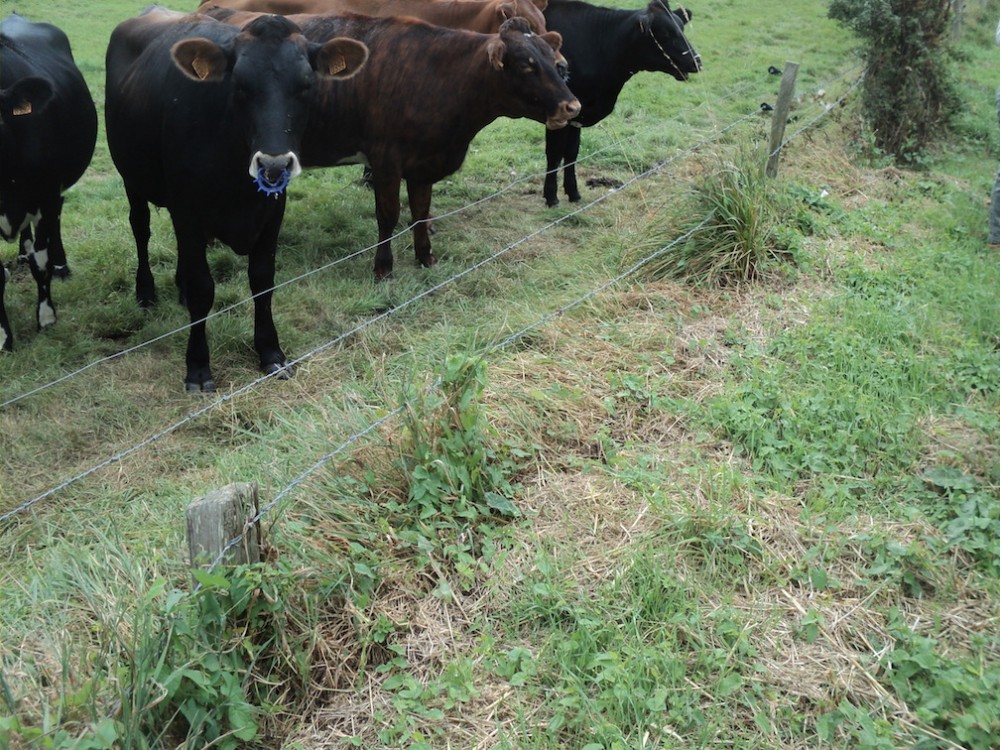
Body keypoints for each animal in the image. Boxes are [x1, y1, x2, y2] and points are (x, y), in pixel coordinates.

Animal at [104, 7, 368, 394]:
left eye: (306, 86)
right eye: (240, 86)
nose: (274, 164)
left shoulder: (272, 211)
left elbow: (263, 281)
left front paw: (270, 352)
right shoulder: (187, 209)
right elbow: (203, 288)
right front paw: (198, 367)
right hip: (131, 177)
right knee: (140, 229)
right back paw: (146, 291)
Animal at [205, 8, 580, 280]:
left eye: (550, 58)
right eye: (527, 66)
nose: (572, 106)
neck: (439, 76)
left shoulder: (423, 164)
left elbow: (420, 212)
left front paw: (425, 255)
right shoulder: (385, 160)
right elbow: (389, 215)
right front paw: (383, 267)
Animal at [544, 0, 700, 207]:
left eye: (682, 27)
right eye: (665, 33)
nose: (696, 61)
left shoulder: (578, 113)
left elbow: (571, 153)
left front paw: (573, 192)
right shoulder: (558, 113)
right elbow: (554, 154)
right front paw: (551, 196)